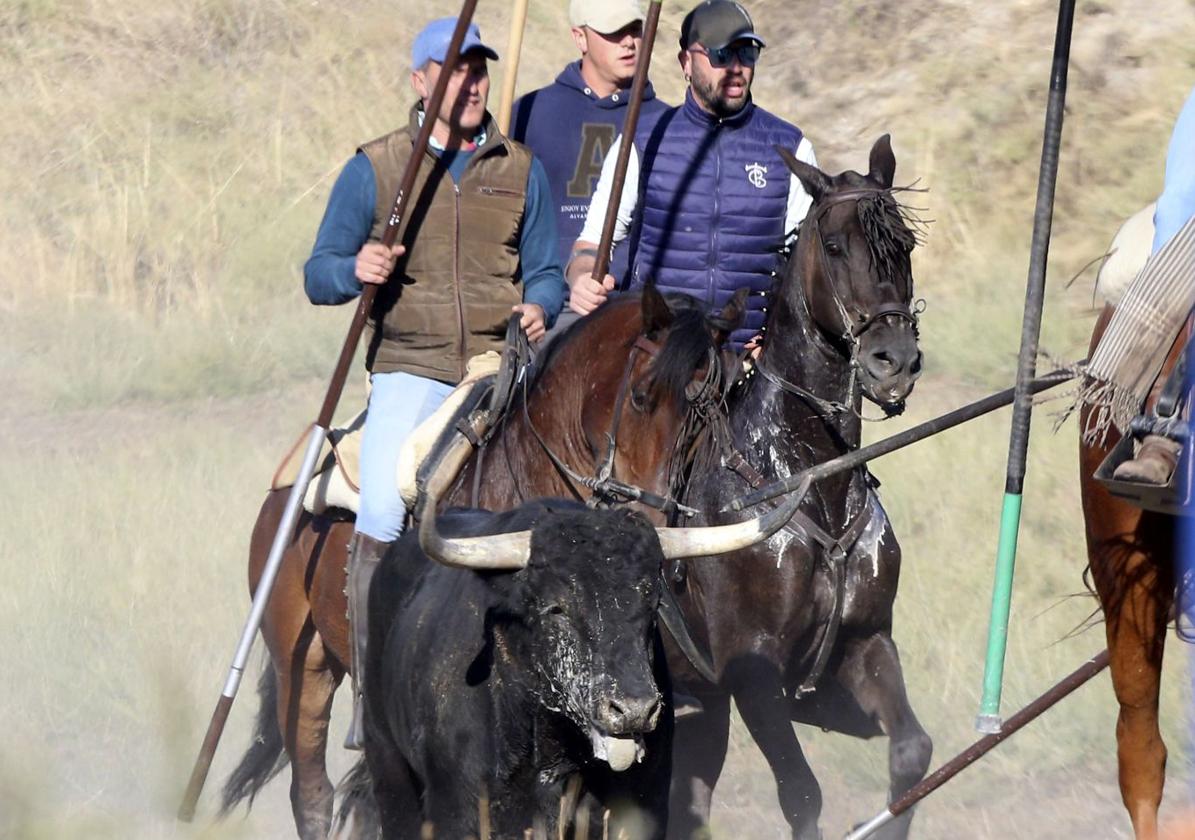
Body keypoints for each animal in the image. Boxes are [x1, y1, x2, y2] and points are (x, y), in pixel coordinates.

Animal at [664, 138, 932, 840]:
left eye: (904, 245)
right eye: (834, 245)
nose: (895, 361)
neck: (806, 483)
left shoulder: (865, 643)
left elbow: (912, 753)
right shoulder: (751, 674)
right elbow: (802, 792)